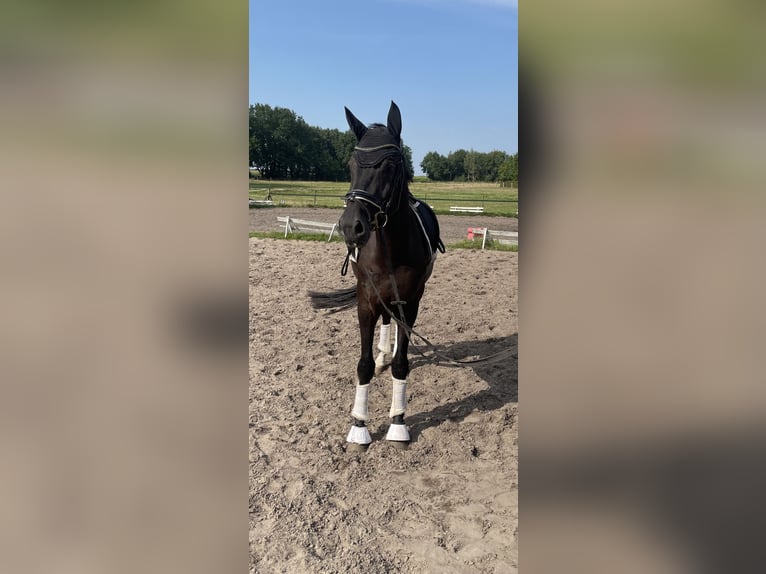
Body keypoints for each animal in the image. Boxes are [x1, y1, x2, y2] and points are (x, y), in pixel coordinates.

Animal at [310, 101, 444, 448]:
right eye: (350, 164)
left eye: (391, 165)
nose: (350, 226)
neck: (390, 245)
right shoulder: (366, 299)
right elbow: (364, 364)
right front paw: (359, 425)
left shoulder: (409, 301)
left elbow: (402, 362)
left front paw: (398, 422)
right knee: (386, 322)